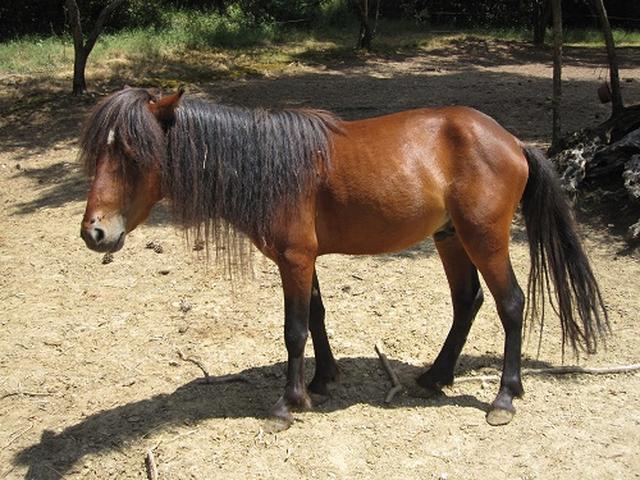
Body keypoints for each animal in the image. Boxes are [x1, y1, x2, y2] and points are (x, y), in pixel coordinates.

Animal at [79, 87, 608, 428]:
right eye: (99, 154)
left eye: (133, 153)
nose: (95, 232)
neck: (270, 165)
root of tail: (511, 141)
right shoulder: (302, 259)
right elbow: (315, 316)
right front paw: (322, 381)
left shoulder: (294, 258)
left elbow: (294, 330)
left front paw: (287, 404)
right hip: (450, 237)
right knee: (467, 302)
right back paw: (435, 377)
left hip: (484, 238)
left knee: (510, 304)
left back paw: (504, 397)